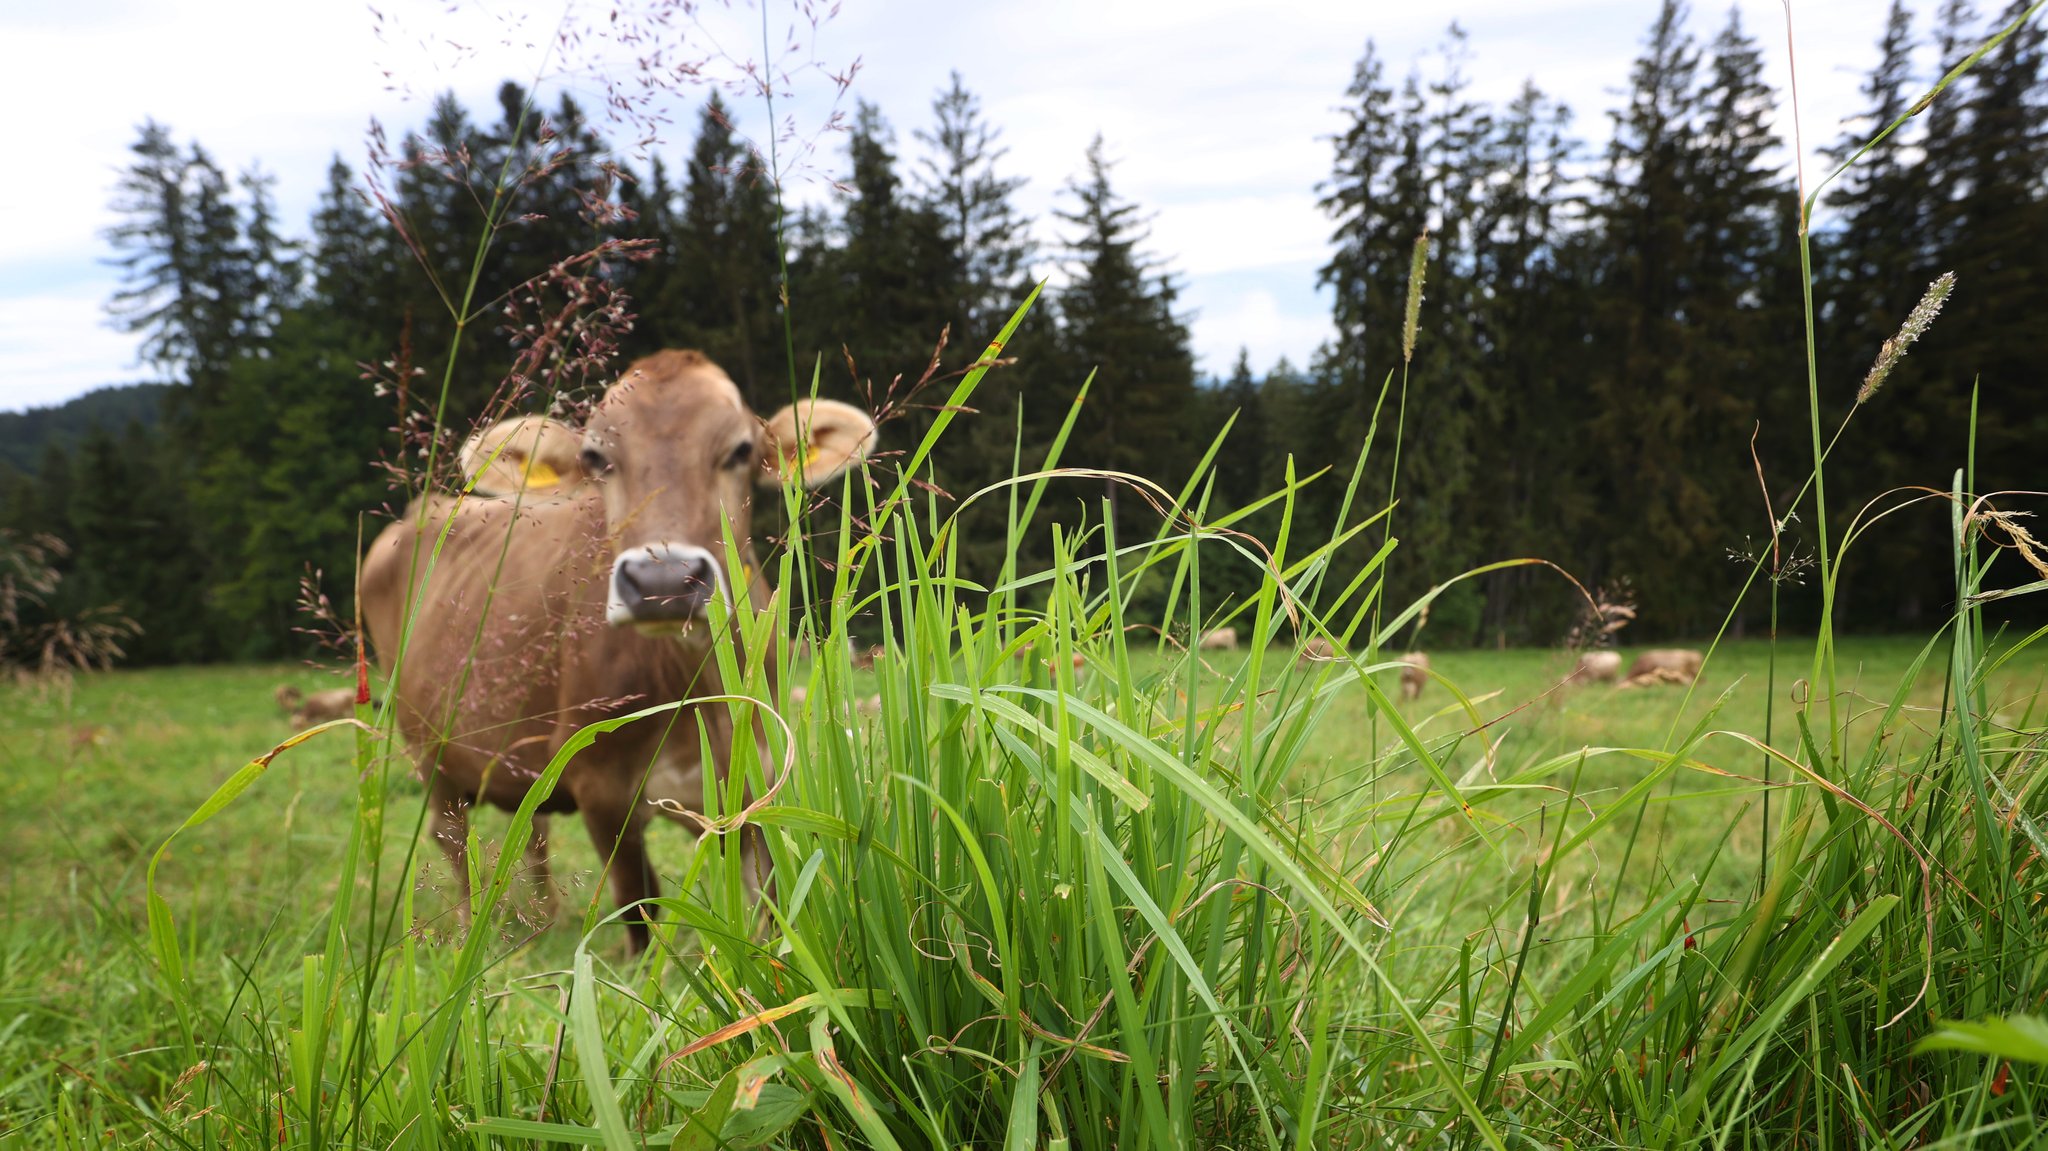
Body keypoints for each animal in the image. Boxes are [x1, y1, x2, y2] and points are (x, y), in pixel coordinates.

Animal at [360, 352, 872, 950]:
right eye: (595, 457)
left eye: (741, 450)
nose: (663, 579)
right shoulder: (599, 786)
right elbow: (639, 909)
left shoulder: (760, 782)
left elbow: (772, 913)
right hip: (426, 750)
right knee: (454, 843)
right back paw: (471, 937)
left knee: (531, 827)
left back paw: (546, 916)